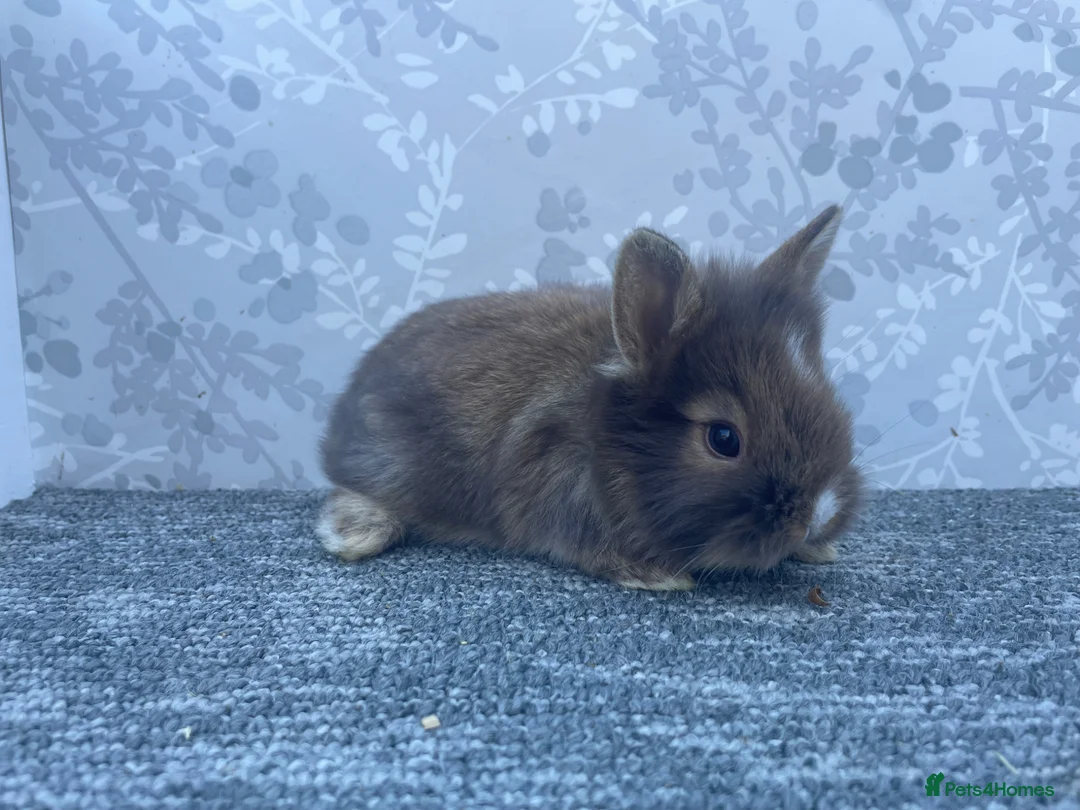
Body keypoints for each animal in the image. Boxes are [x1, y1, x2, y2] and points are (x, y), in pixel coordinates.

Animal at [317, 204, 864, 590]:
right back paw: (355, 535)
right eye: (724, 438)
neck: (602, 436)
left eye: (831, 402)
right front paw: (658, 577)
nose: (818, 514)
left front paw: (818, 551)